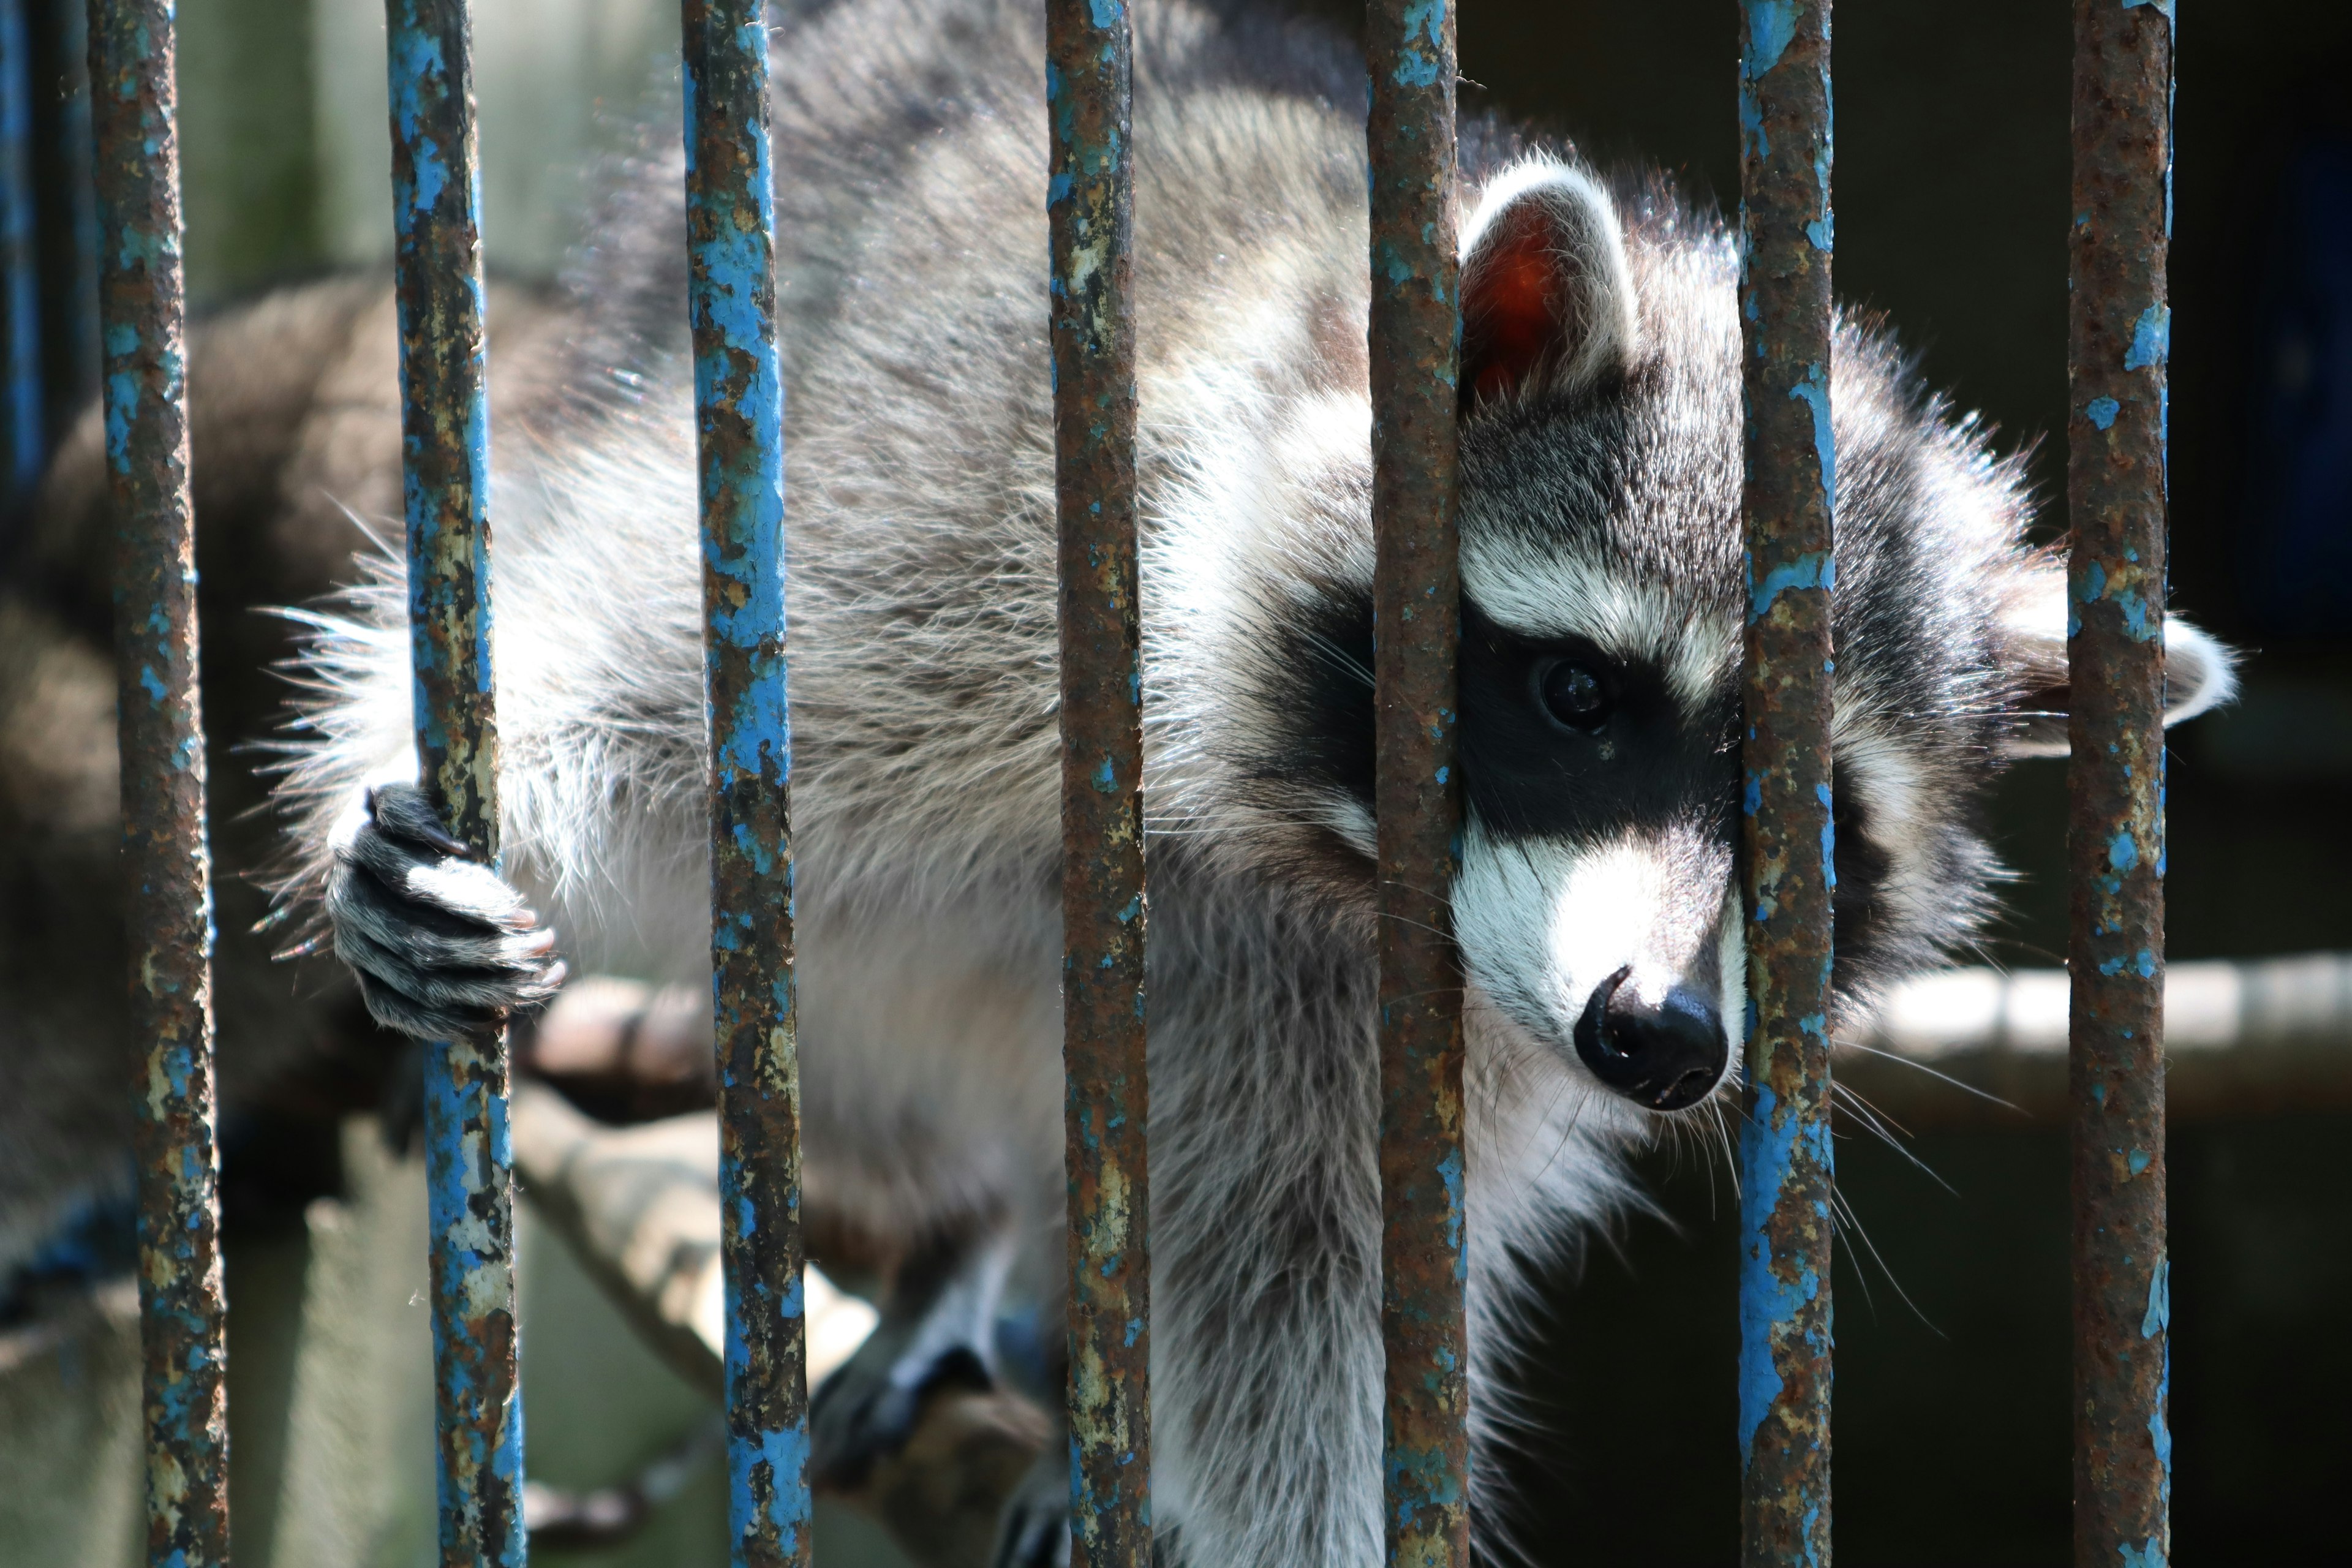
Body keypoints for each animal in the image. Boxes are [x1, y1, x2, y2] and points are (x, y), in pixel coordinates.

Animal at [266, 0, 2230, 1561]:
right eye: (1579, 692)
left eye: (1820, 825)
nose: (1659, 1037)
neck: (1317, 847)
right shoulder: (995, 529)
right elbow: (650, 638)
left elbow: (1305, 1297)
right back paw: (956, 1239)